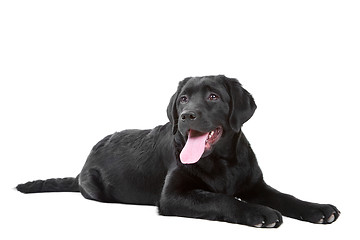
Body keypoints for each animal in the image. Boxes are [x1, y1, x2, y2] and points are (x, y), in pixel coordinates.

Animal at [16, 74, 340, 227]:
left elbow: (286, 196)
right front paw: (259, 212)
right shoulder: (172, 196)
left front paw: (318, 209)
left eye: (213, 97)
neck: (223, 161)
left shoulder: (254, 184)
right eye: (183, 99)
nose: (186, 116)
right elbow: (222, 200)